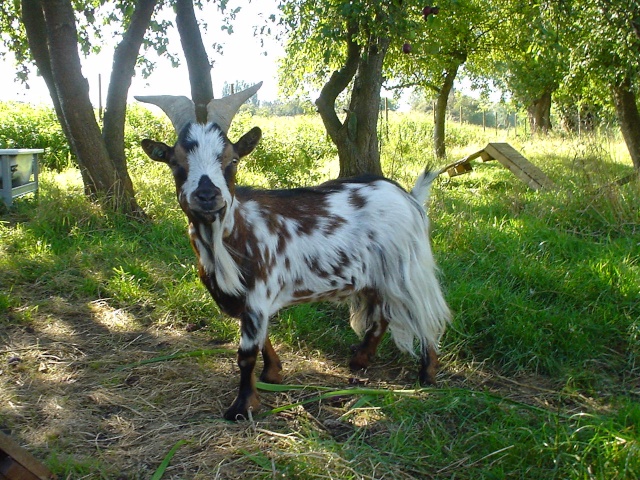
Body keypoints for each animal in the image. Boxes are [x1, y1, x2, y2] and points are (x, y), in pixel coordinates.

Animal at [138, 83, 452, 420]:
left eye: (232, 160)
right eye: (175, 162)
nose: (207, 195)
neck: (232, 236)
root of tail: (410, 198)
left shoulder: (259, 294)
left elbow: (246, 353)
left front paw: (242, 407)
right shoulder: (244, 301)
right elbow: (263, 339)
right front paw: (273, 373)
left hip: (408, 269)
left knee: (426, 315)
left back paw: (427, 375)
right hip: (375, 275)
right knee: (381, 316)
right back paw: (359, 361)